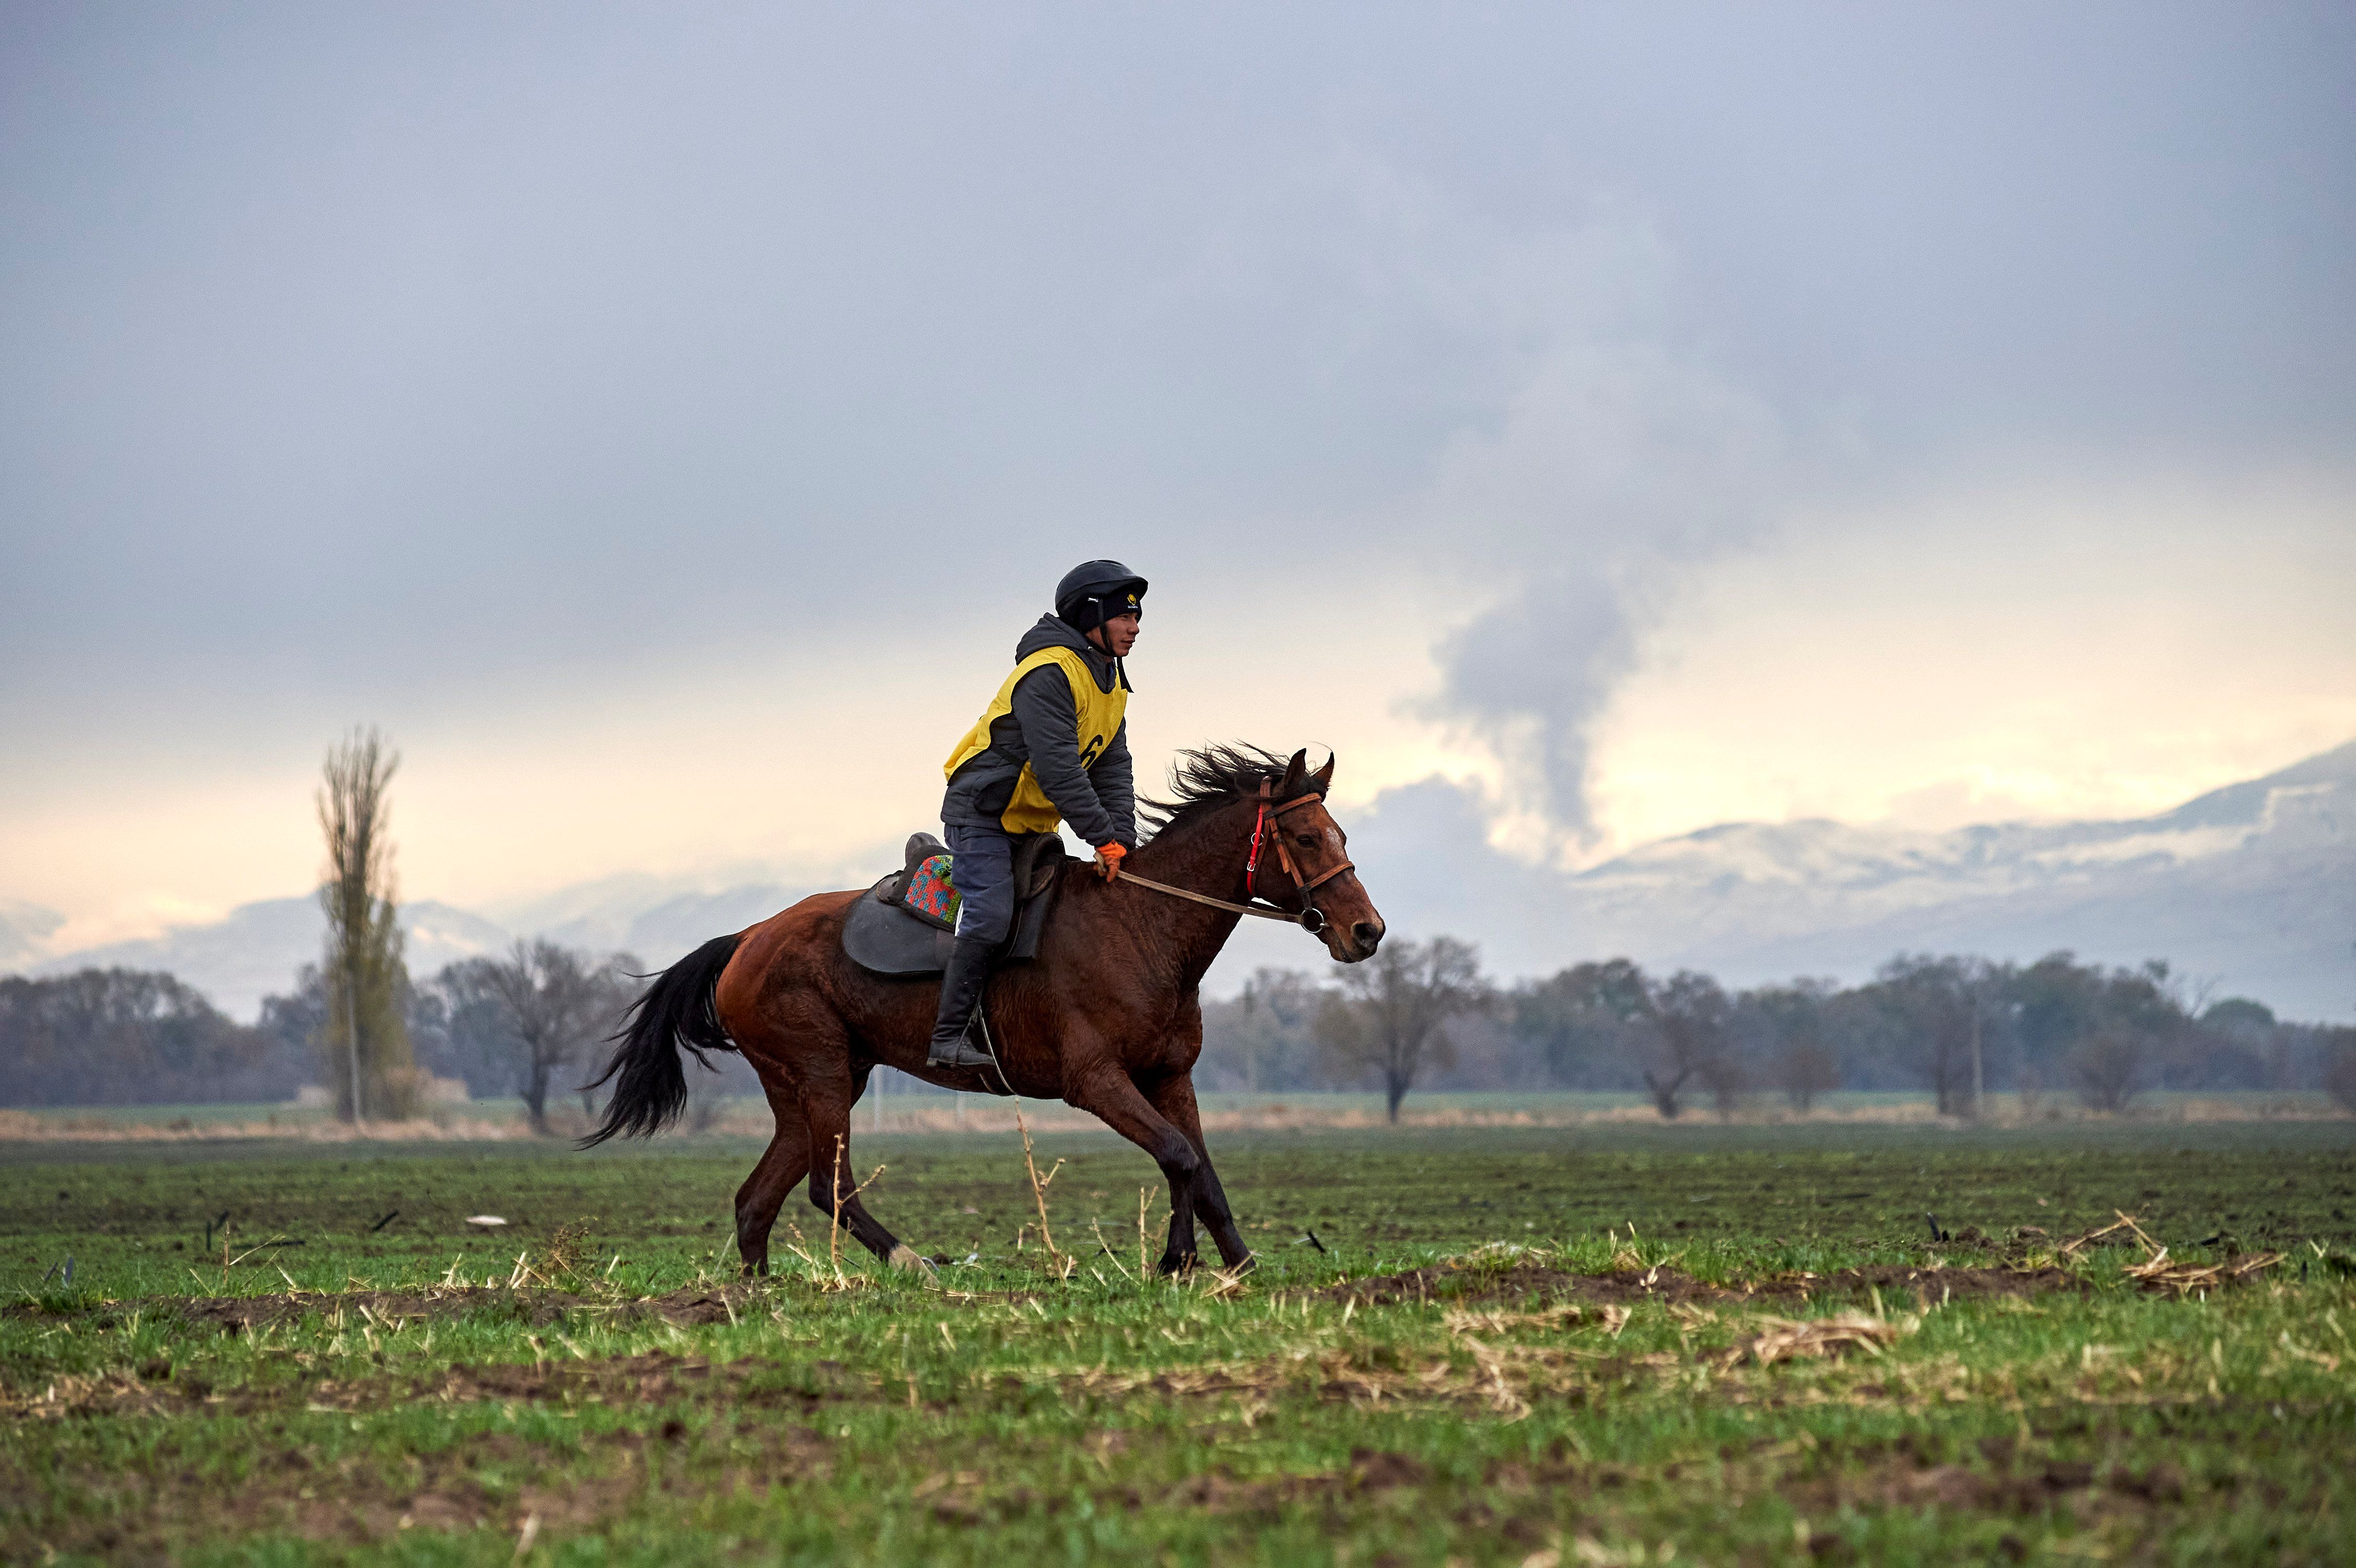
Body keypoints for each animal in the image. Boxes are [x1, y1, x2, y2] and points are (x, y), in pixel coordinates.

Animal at [584, 744, 1376, 1271]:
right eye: (1307, 836)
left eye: (1343, 835)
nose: (1368, 931)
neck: (1143, 927)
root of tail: (747, 937)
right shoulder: (1097, 1081)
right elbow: (1179, 1155)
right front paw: (1176, 1260)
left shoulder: (1169, 1076)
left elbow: (1200, 1169)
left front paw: (1237, 1264)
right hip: (823, 1077)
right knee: (827, 1185)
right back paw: (914, 1264)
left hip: (806, 1087)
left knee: (757, 1200)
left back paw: (753, 1297)